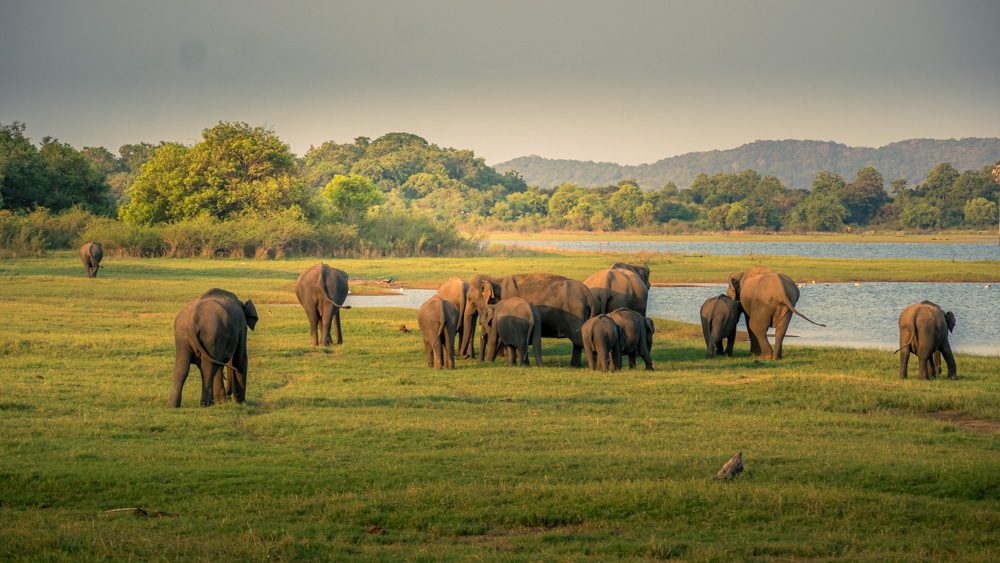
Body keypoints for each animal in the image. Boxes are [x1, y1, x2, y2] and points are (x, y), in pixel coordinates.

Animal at [463, 273, 596, 367]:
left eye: (469, 299)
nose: (467, 356)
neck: (495, 279)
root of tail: (589, 296)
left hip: (576, 316)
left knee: (578, 340)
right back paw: (574, 365)